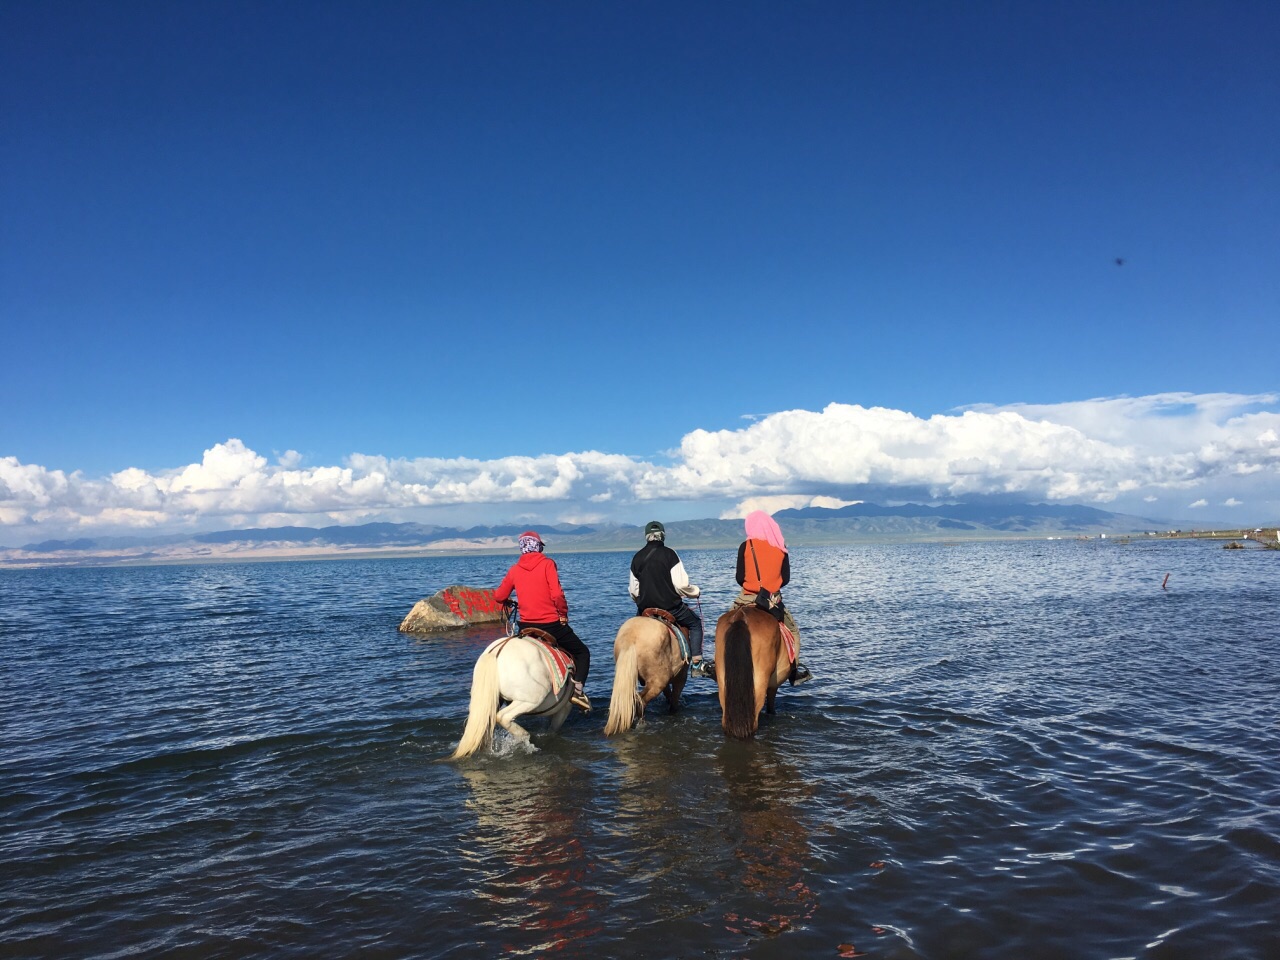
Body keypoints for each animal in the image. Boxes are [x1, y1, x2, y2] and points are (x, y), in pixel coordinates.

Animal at [448, 634, 573, 762]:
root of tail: (496, 651)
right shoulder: (565, 707)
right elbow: (554, 729)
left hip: (491, 703)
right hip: (531, 699)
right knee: (503, 717)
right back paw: (524, 737)